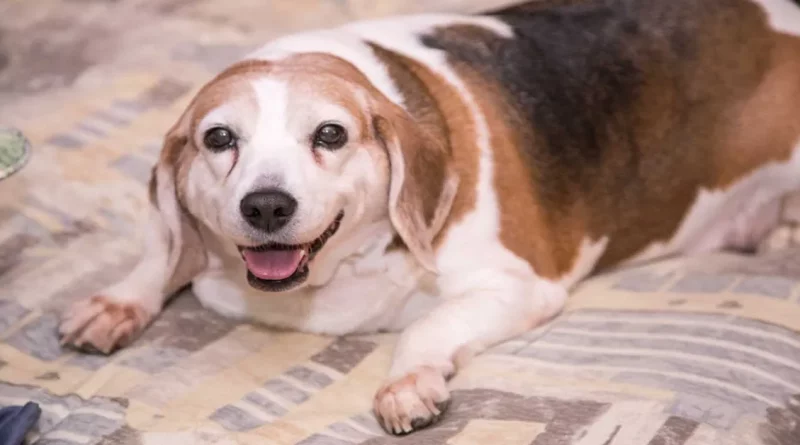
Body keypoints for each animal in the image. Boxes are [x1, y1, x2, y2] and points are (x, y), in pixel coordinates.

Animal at [57, 0, 800, 434]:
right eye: (218, 138)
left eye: (330, 134)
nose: (266, 204)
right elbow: (161, 251)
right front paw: (121, 298)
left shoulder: (519, 286)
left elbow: (428, 325)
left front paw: (407, 380)